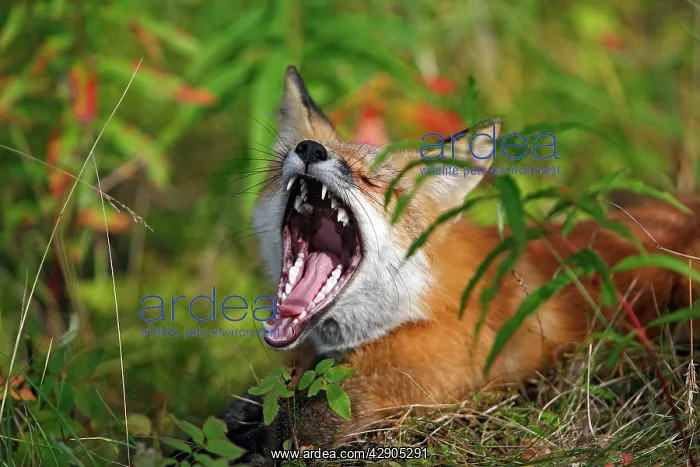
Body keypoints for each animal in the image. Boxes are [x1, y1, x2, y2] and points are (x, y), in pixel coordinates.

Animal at [217, 65, 700, 465]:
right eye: (288, 157)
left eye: (372, 181)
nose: (310, 149)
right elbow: (245, 409)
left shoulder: (423, 379)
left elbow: (300, 421)